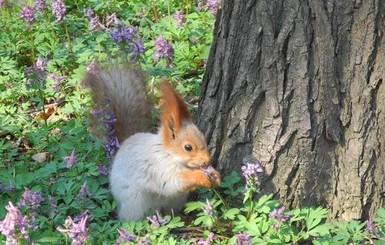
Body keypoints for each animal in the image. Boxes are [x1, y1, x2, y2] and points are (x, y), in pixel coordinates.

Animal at [82, 62, 219, 220]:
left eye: (203, 138)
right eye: (188, 147)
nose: (207, 161)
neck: (169, 154)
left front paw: (215, 175)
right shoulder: (156, 167)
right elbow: (173, 182)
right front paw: (200, 176)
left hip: (177, 199)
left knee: (171, 211)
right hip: (135, 203)